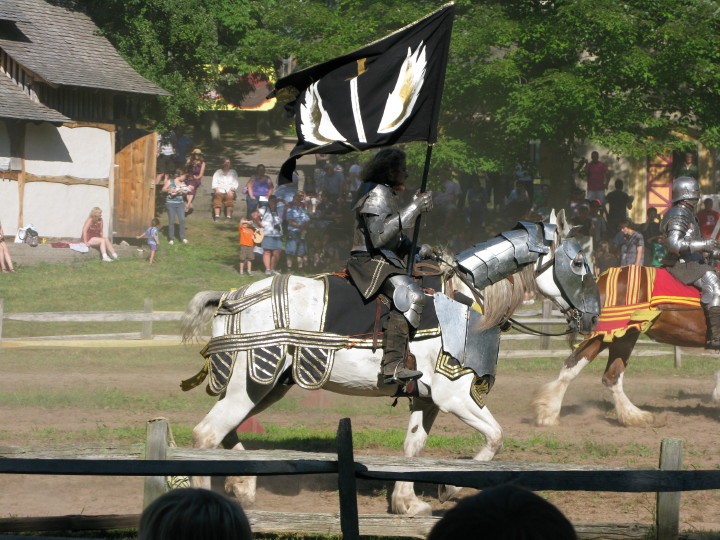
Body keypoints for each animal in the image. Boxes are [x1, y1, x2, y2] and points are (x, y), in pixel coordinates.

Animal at [183, 210, 600, 516]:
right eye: (579, 264)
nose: (593, 318)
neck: (469, 299)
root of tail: (231, 296)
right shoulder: (455, 397)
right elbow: (495, 437)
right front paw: (452, 486)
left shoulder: (427, 399)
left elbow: (413, 449)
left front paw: (407, 503)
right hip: (252, 380)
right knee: (206, 436)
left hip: (266, 386)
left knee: (226, 432)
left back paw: (242, 485)